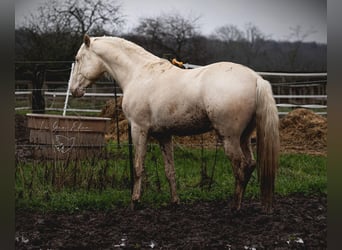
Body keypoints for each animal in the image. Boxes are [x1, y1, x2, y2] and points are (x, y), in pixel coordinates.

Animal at [70, 34, 280, 212]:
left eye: (78, 59)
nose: (73, 90)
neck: (138, 73)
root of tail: (256, 79)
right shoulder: (164, 135)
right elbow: (169, 170)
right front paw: (175, 201)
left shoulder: (139, 129)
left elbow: (138, 167)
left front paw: (135, 201)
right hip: (244, 137)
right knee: (250, 165)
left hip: (229, 138)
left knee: (240, 167)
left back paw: (234, 206)